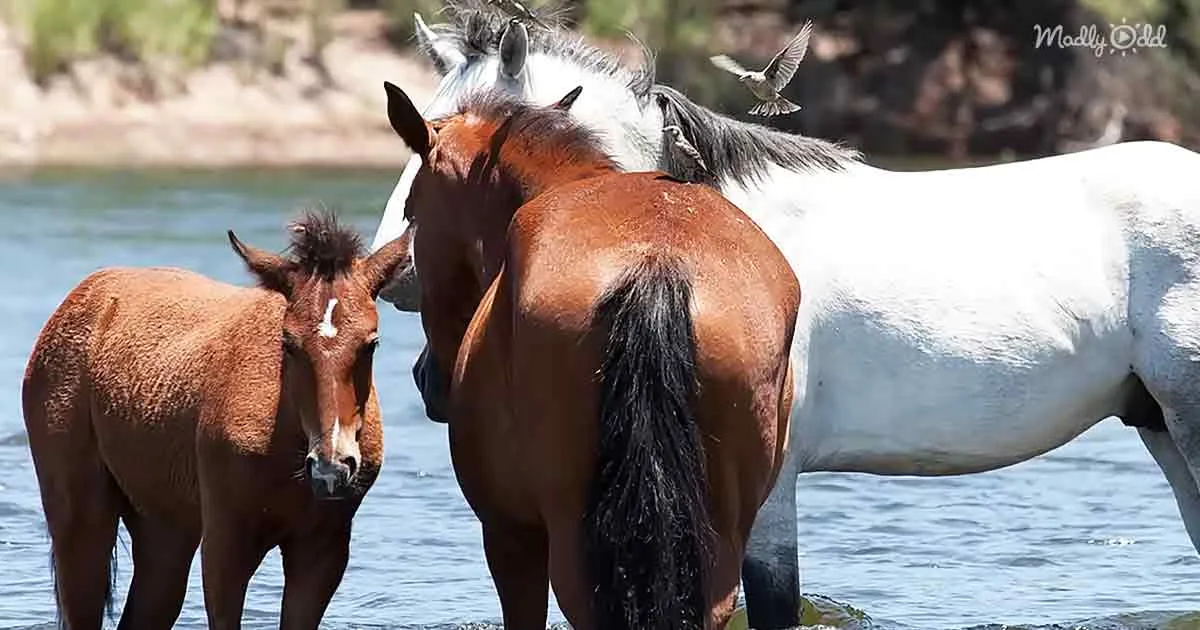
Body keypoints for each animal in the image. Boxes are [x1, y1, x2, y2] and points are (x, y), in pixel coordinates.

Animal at [23, 211, 411, 629]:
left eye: (371, 343)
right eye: (288, 343)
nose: (331, 467)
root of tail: (79, 296)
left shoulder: (323, 548)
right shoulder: (226, 541)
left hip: (165, 529)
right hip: (80, 516)